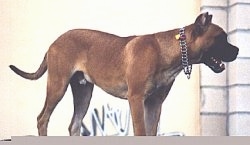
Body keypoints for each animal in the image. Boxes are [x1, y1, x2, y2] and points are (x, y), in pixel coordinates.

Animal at [9, 11, 238, 135]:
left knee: (74, 125)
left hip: (83, 93)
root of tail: (54, 42)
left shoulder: (154, 103)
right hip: (58, 86)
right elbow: (141, 132)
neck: (169, 50)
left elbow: (151, 132)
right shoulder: (136, 99)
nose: (237, 50)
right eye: (220, 39)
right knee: (42, 118)